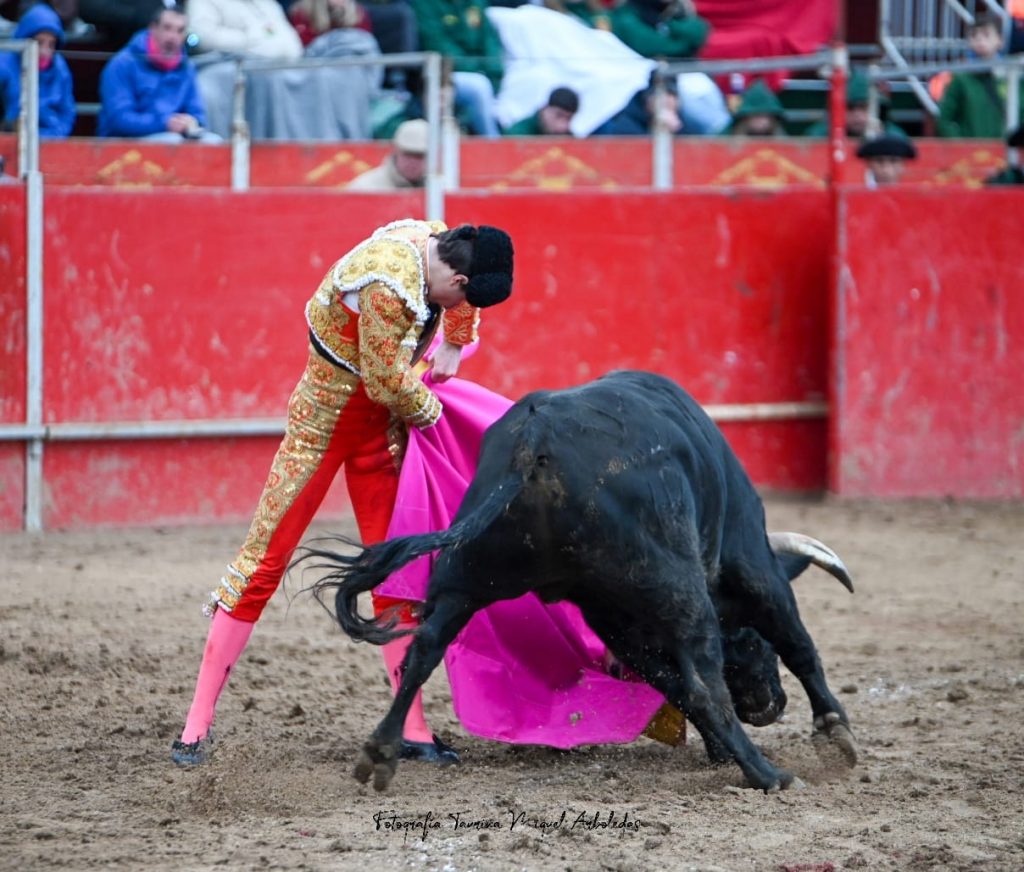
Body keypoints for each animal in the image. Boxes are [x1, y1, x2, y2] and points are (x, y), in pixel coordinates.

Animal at [301, 370, 856, 794]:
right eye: (751, 640)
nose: (769, 707)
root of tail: (531, 448)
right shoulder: (752, 565)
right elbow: (796, 644)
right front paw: (835, 733)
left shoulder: (615, 623)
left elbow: (671, 682)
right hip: (680, 588)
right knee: (706, 686)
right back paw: (769, 774)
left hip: (465, 578)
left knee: (422, 652)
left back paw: (381, 752)